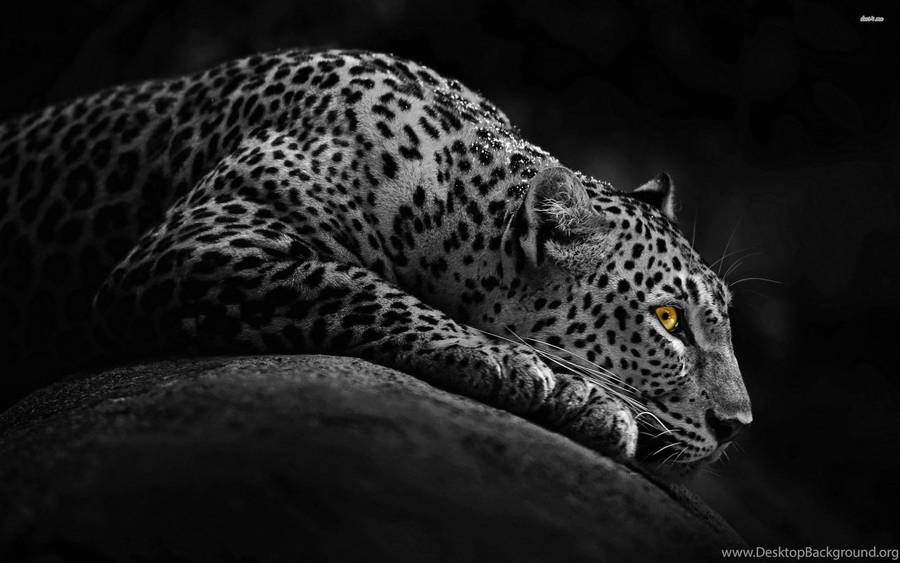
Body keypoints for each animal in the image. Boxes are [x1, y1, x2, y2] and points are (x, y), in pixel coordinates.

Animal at [0, 48, 752, 477]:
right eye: (669, 320)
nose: (738, 426)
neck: (444, 200)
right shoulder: (203, 239)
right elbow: (354, 285)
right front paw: (518, 367)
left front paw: (581, 398)